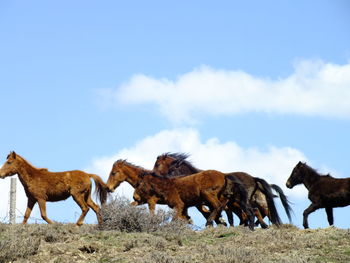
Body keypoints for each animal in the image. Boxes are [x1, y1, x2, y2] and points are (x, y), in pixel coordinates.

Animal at [153, 154, 292, 228]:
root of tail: (254, 179)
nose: (153, 175)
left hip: (243, 203)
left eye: (158, 164)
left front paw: (218, 222)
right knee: (259, 213)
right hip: (247, 203)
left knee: (259, 213)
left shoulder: (202, 202)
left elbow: (209, 212)